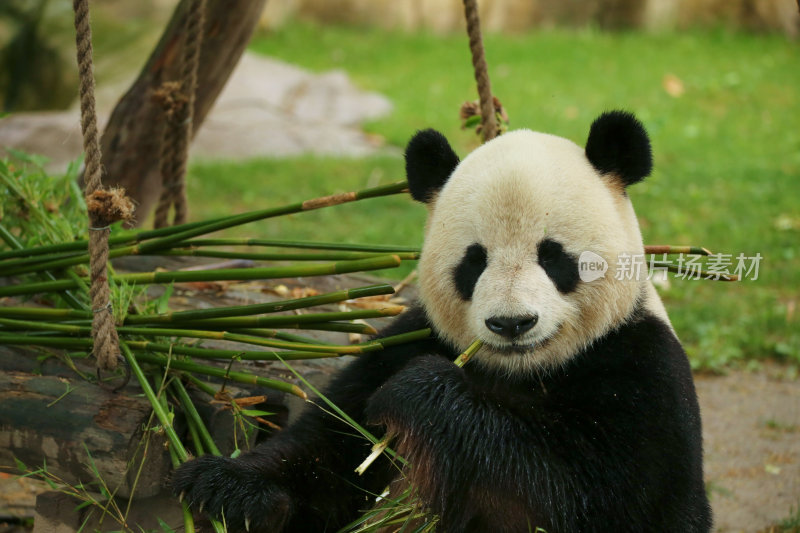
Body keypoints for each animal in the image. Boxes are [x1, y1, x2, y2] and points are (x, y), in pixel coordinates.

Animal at [173, 110, 712, 528]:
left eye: (554, 257)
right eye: (474, 262)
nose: (512, 324)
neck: (518, 372)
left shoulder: (640, 369)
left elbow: (600, 495)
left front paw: (422, 393)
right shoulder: (405, 340)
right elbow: (332, 453)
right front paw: (227, 488)